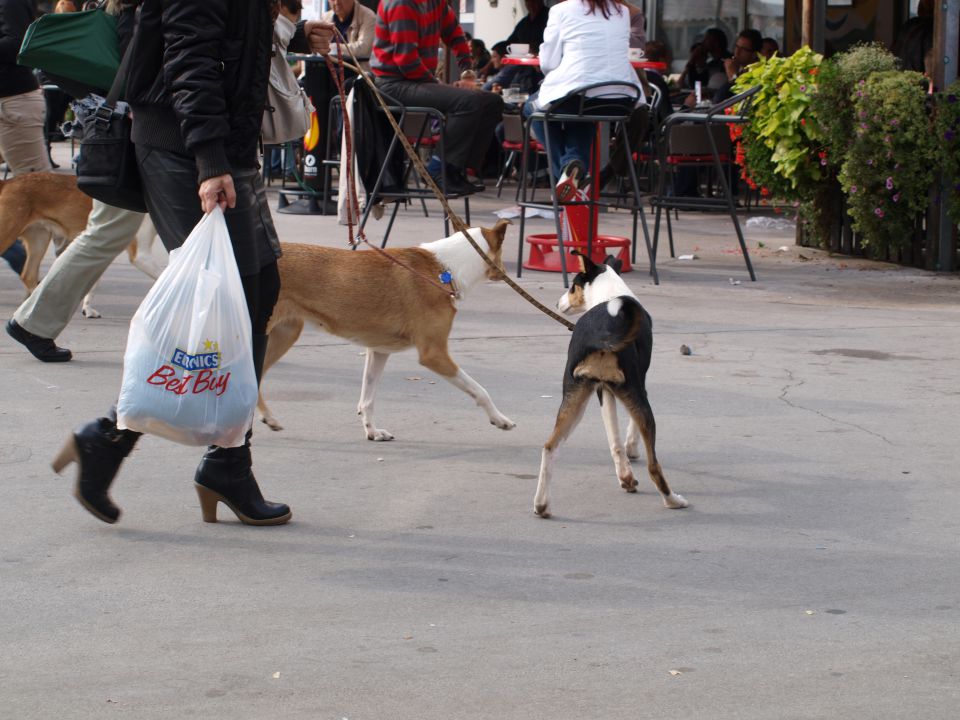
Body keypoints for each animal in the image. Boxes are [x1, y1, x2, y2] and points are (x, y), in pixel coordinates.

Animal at [260, 219, 516, 442]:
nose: (505, 272)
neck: (446, 268)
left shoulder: (378, 350)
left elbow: (367, 399)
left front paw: (372, 431)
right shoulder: (434, 354)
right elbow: (480, 390)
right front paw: (500, 419)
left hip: (286, 333)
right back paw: (267, 420)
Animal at [532, 252, 688, 516]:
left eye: (573, 286)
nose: (557, 303)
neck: (609, 293)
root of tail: (603, 334)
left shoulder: (602, 390)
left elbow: (614, 439)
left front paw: (625, 476)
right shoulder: (639, 384)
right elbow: (631, 429)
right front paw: (632, 448)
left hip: (574, 398)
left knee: (549, 446)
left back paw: (542, 505)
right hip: (633, 393)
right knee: (653, 465)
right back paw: (673, 500)